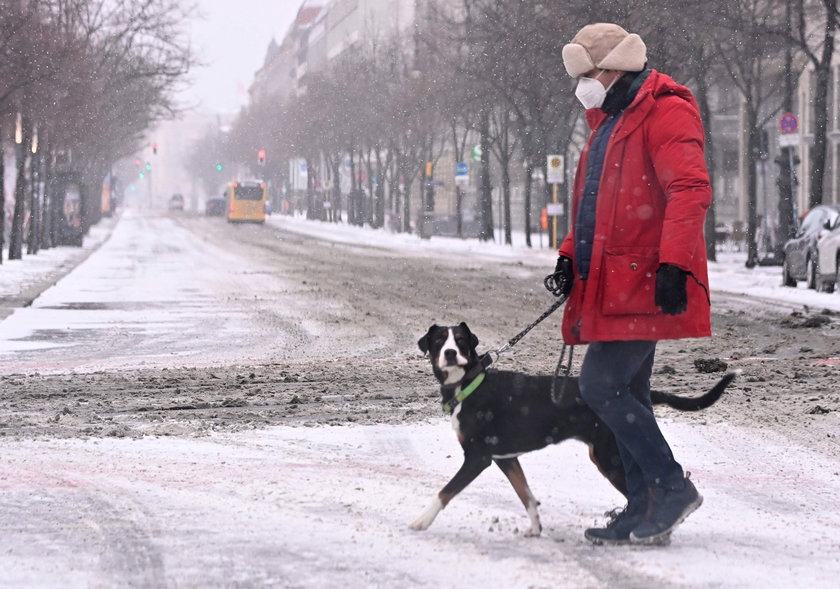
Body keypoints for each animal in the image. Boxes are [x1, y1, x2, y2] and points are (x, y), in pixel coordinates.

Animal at [414, 324, 736, 536]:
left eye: (460, 340)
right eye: (440, 340)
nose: (451, 353)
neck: (468, 384)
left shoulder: (478, 457)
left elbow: (445, 491)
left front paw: (421, 521)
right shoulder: (505, 458)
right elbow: (526, 494)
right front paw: (535, 528)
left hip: (609, 456)